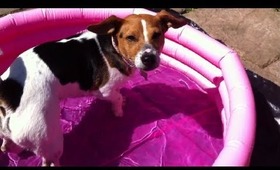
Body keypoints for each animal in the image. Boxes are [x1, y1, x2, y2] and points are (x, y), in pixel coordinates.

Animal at [0, 9, 187, 166]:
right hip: (49, 139)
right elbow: (117, 97)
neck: (114, 47)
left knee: (8, 145)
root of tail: (8, 92)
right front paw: (119, 110)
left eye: (157, 35)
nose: (149, 58)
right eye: (130, 38)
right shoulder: (104, 91)